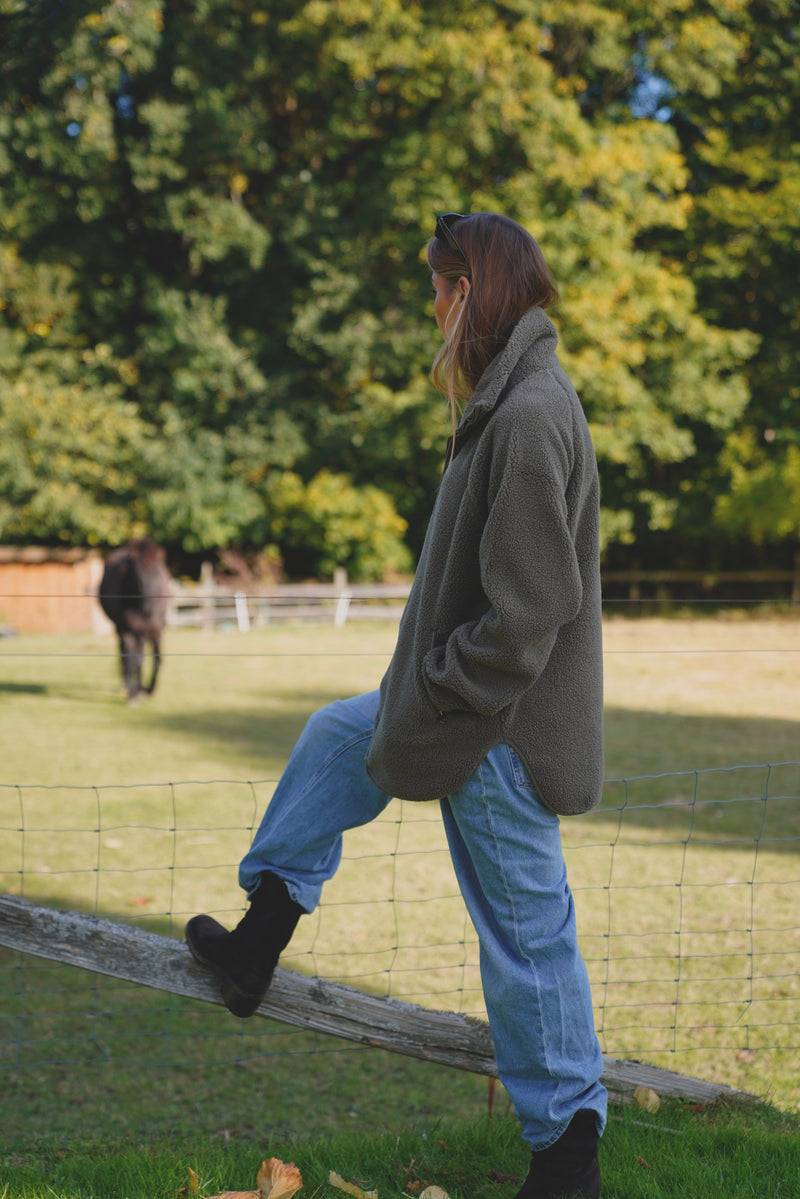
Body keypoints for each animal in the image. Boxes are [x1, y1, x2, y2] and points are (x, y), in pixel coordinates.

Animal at [98, 541, 172, 700]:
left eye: (157, 573)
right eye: (138, 576)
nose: (149, 608)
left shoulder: (154, 630)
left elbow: (156, 660)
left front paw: (148, 690)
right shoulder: (128, 631)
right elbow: (132, 661)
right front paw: (133, 695)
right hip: (122, 629)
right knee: (127, 656)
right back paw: (128, 686)